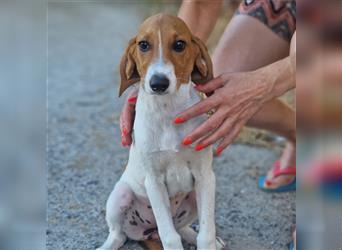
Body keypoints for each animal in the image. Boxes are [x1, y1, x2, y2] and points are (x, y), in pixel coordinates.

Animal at [97, 13, 224, 250]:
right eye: (143, 45)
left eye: (179, 44)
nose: (158, 83)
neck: (168, 110)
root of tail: (149, 233)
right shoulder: (153, 181)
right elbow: (170, 237)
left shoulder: (205, 175)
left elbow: (206, 233)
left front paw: (209, 242)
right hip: (120, 195)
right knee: (119, 234)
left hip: (194, 196)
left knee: (183, 229)